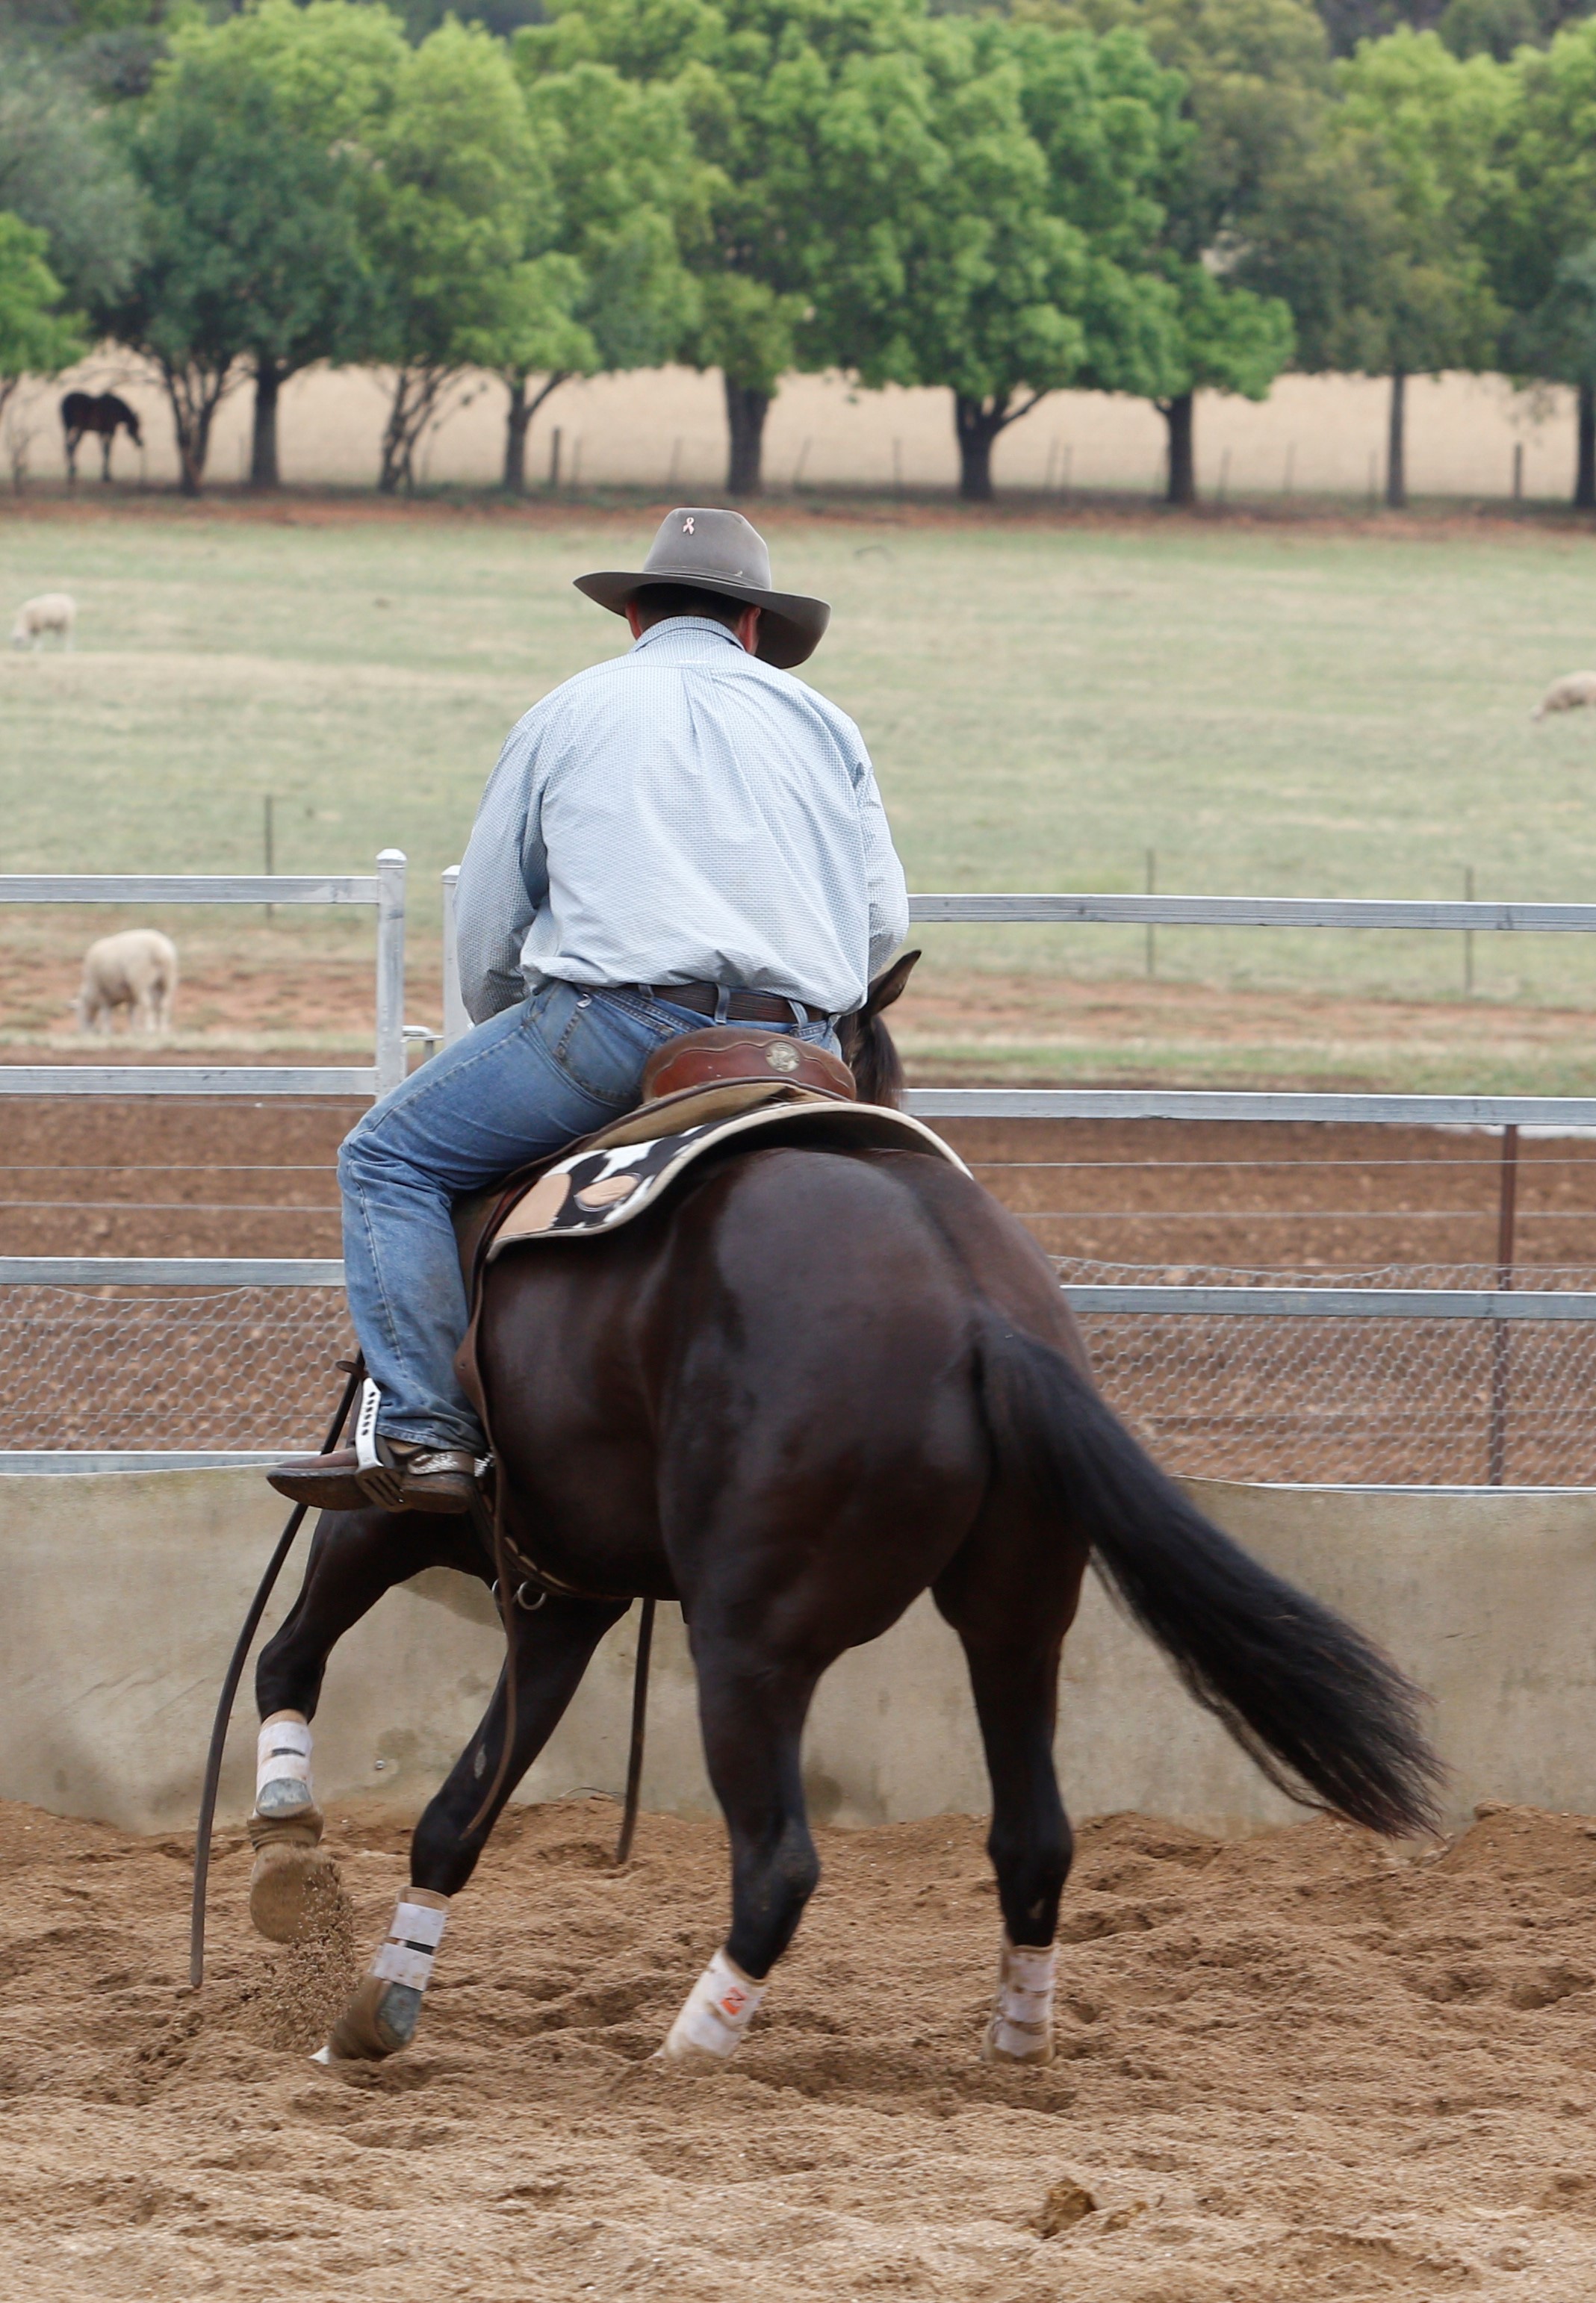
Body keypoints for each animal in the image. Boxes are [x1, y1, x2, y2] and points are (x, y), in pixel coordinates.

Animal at [246, 963, 1442, 2071]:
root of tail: (975, 1310)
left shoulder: (412, 1519)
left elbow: (292, 1656)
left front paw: (286, 1839)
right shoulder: (565, 1595)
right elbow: (458, 1811)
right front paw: (381, 1999)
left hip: (747, 1646)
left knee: (779, 1860)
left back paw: (686, 2053)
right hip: (1017, 1623)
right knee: (1035, 1838)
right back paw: (1016, 2040)